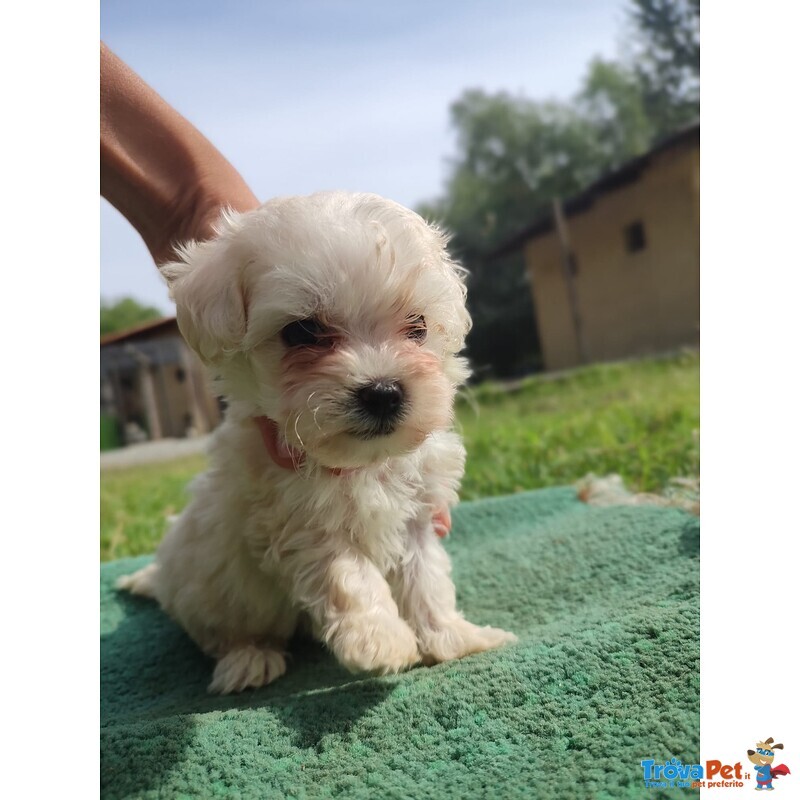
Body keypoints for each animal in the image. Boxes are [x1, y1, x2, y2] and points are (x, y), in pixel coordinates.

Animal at [119, 191, 520, 692]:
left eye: (418, 326)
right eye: (302, 332)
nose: (383, 391)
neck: (364, 462)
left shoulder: (419, 513)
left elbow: (427, 578)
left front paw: (454, 637)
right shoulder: (297, 518)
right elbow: (347, 574)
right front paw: (380, 640)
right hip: (211, 588)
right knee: (222, 632)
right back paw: (249, 658)